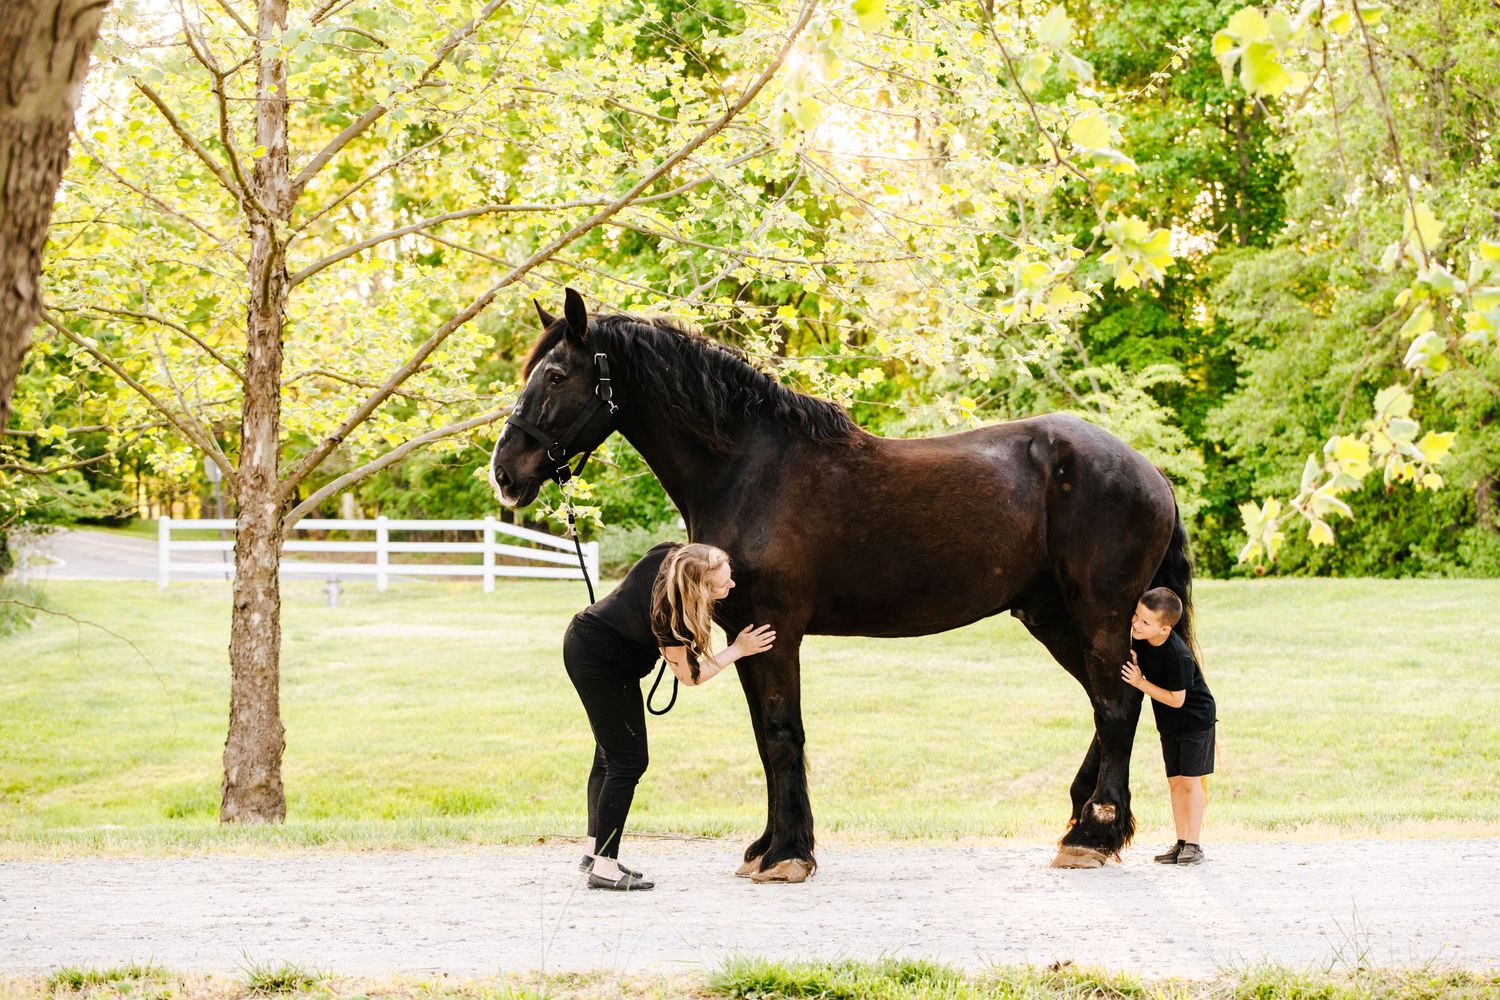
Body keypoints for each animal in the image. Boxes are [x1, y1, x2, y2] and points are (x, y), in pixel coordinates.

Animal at [489, 288, 1194, 880]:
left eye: (556, 376)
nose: (504, 474)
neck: (749, 466)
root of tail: (1148, 470)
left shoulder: (778, 632)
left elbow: (782, 736)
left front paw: (787, 855)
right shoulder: (748, 634)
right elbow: (767, 740)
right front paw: (768, 846)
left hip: (1100, 611)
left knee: (1116, 706)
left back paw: (1094, 836)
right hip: (1052, 616)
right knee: (1111, 705)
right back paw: (1086, 826)